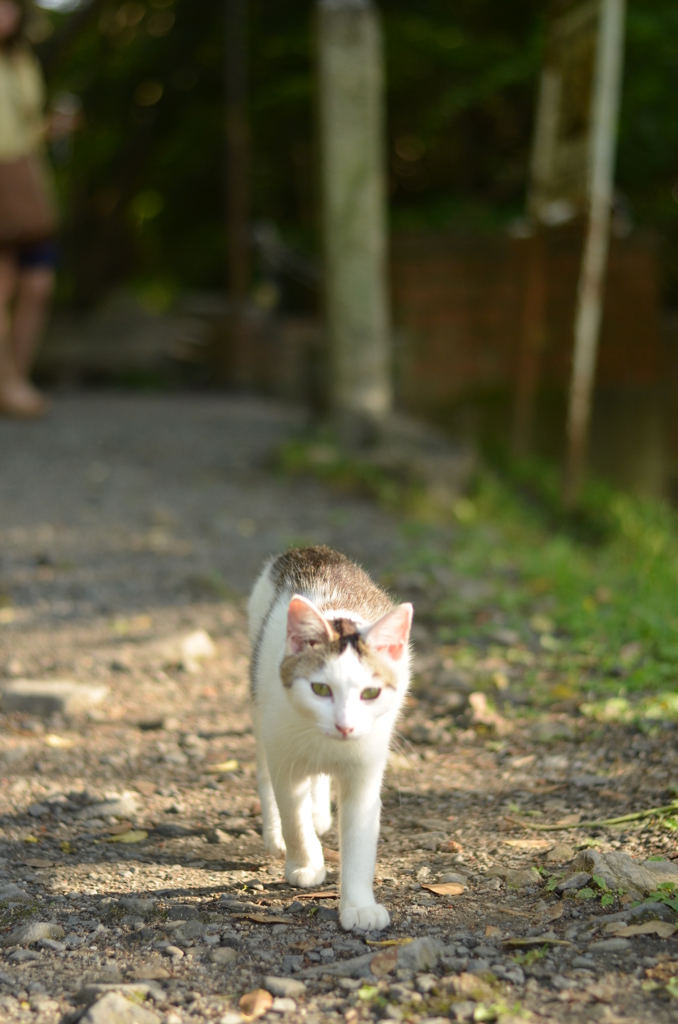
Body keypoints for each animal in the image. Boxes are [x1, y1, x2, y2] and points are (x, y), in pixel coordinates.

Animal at [246, 548, 411, 933]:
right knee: (266, 775)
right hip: (261, 706)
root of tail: (311, 550)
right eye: (320, 689)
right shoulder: (283, 752)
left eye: (370, 693)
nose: (344, 726)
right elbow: (293, 816)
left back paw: (319, 811)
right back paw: (278, 833)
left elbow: (360, 836)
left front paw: (359, 906)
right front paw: (305, 864)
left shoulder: (367, 768)